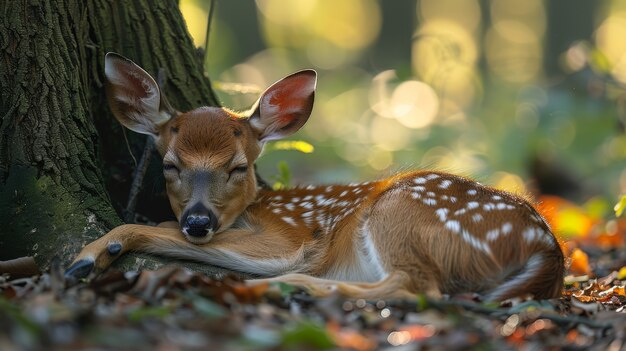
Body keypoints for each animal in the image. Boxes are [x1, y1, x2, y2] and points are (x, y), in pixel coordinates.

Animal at [64, 53, 564, 302]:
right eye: (170, 165)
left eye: (238, 167)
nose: (199, 222)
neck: (254, 209)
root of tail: (548, 248)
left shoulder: (288, 239)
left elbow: (157, 228)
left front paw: (87, 257)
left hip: (400, 210)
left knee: (418, 287)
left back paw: (283, 285)